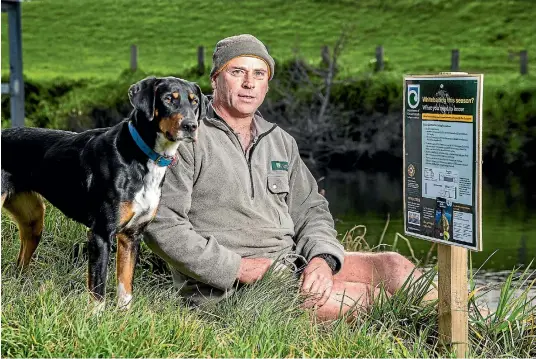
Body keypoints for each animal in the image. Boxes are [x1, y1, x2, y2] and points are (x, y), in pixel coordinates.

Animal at [0, 76, 203, 312]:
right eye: (169, 99)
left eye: (194, 101)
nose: (191, 126)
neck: (141, 157)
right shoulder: (100, 235)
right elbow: (98, 290)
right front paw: (95, 319)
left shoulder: (131, 236)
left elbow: (125, 287)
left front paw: (124, 318)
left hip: (33, 220)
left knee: (20, 265)